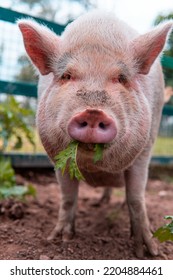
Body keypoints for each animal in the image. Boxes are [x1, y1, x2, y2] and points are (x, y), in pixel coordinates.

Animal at [18, 11, 172, 258]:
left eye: (121, 78)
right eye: (67, 75)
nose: (92, 112)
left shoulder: (145, 151)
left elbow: (136, 196)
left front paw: (147, 252)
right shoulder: (57, 157)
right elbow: (67, 196)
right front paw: (59, 239)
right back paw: (100, 203)